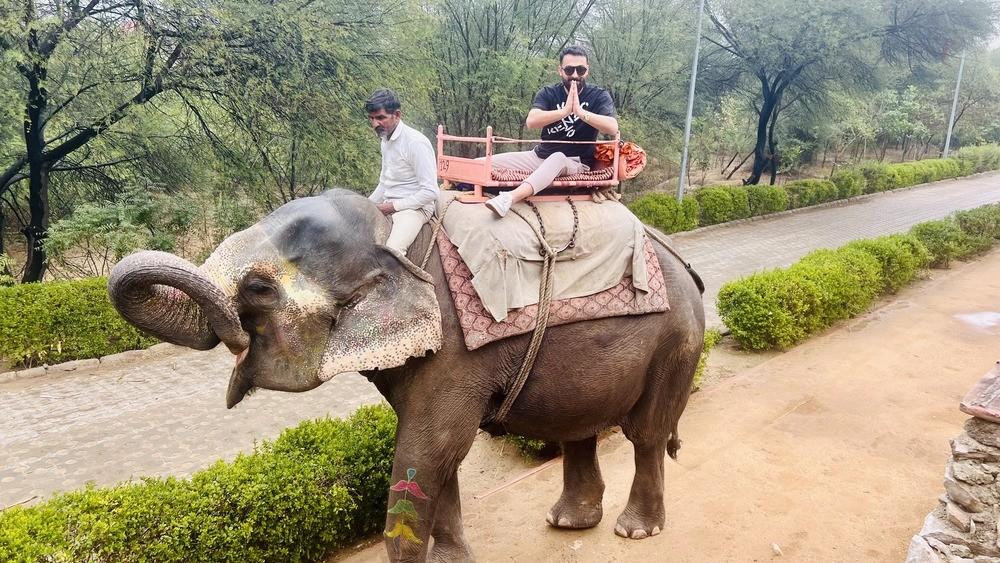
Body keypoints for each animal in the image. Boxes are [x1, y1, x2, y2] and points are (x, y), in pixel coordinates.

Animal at [108, 188, 705, 562]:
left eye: (258, 288)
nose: (234, 339)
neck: (390, 234)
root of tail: (681, 258)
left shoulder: (455, 351)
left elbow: (430, 446)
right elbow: (435, 453)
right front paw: (452, 561)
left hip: (676, 339)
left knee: (645, 433)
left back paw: (634, 530)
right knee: (579, 425)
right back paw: (568, 523)